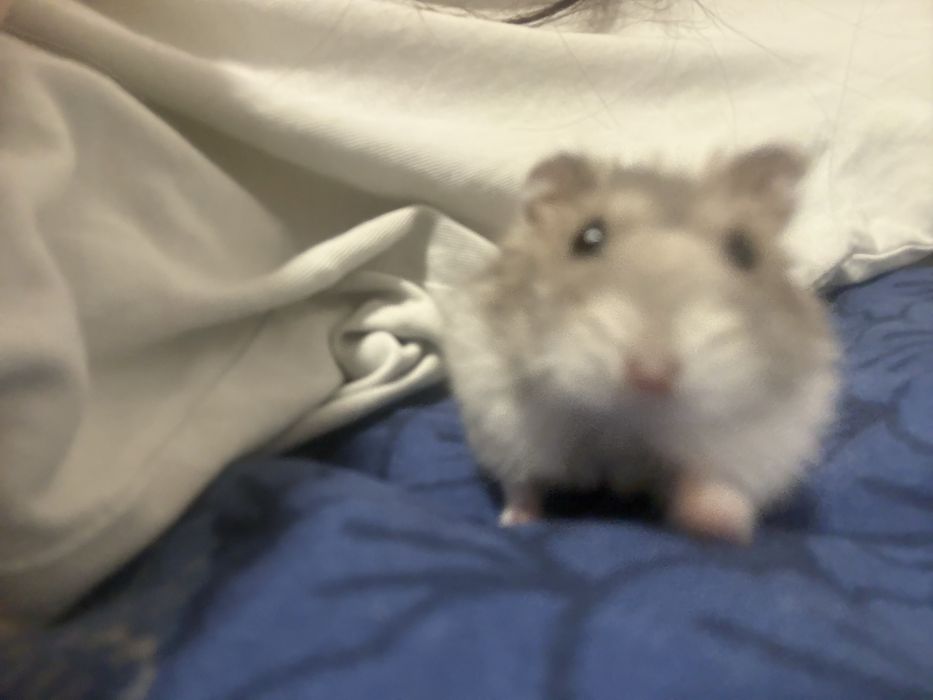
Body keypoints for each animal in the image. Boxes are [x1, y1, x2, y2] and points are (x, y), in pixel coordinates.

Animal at [442, 144, 840, 543]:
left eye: (744, 250)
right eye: (587, 238)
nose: (651, 376)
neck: (626, 427)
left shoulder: (761, 439)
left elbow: (711, 484)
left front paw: (722, 524)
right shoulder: (500, 419)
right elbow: (523, 483)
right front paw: (515, 521)